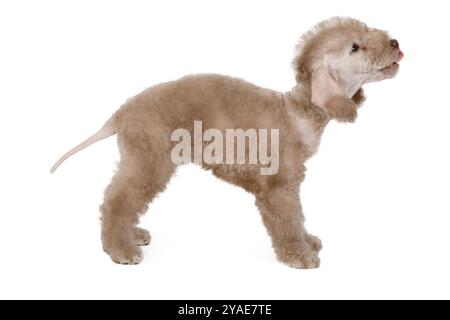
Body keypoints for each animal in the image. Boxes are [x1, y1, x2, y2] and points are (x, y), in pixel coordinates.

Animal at [51, 16, 402, 268]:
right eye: (355, 47)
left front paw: (308, 241)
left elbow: (298, 218)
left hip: (138, 159)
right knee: (116, 200)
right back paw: (120, 250)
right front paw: (299, 255)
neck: (295, 111)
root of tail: (121, 113)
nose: (396, 42)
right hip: (149, 159)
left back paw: (132, 235)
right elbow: (288, 221)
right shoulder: (277, 188)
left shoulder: (290, 185)